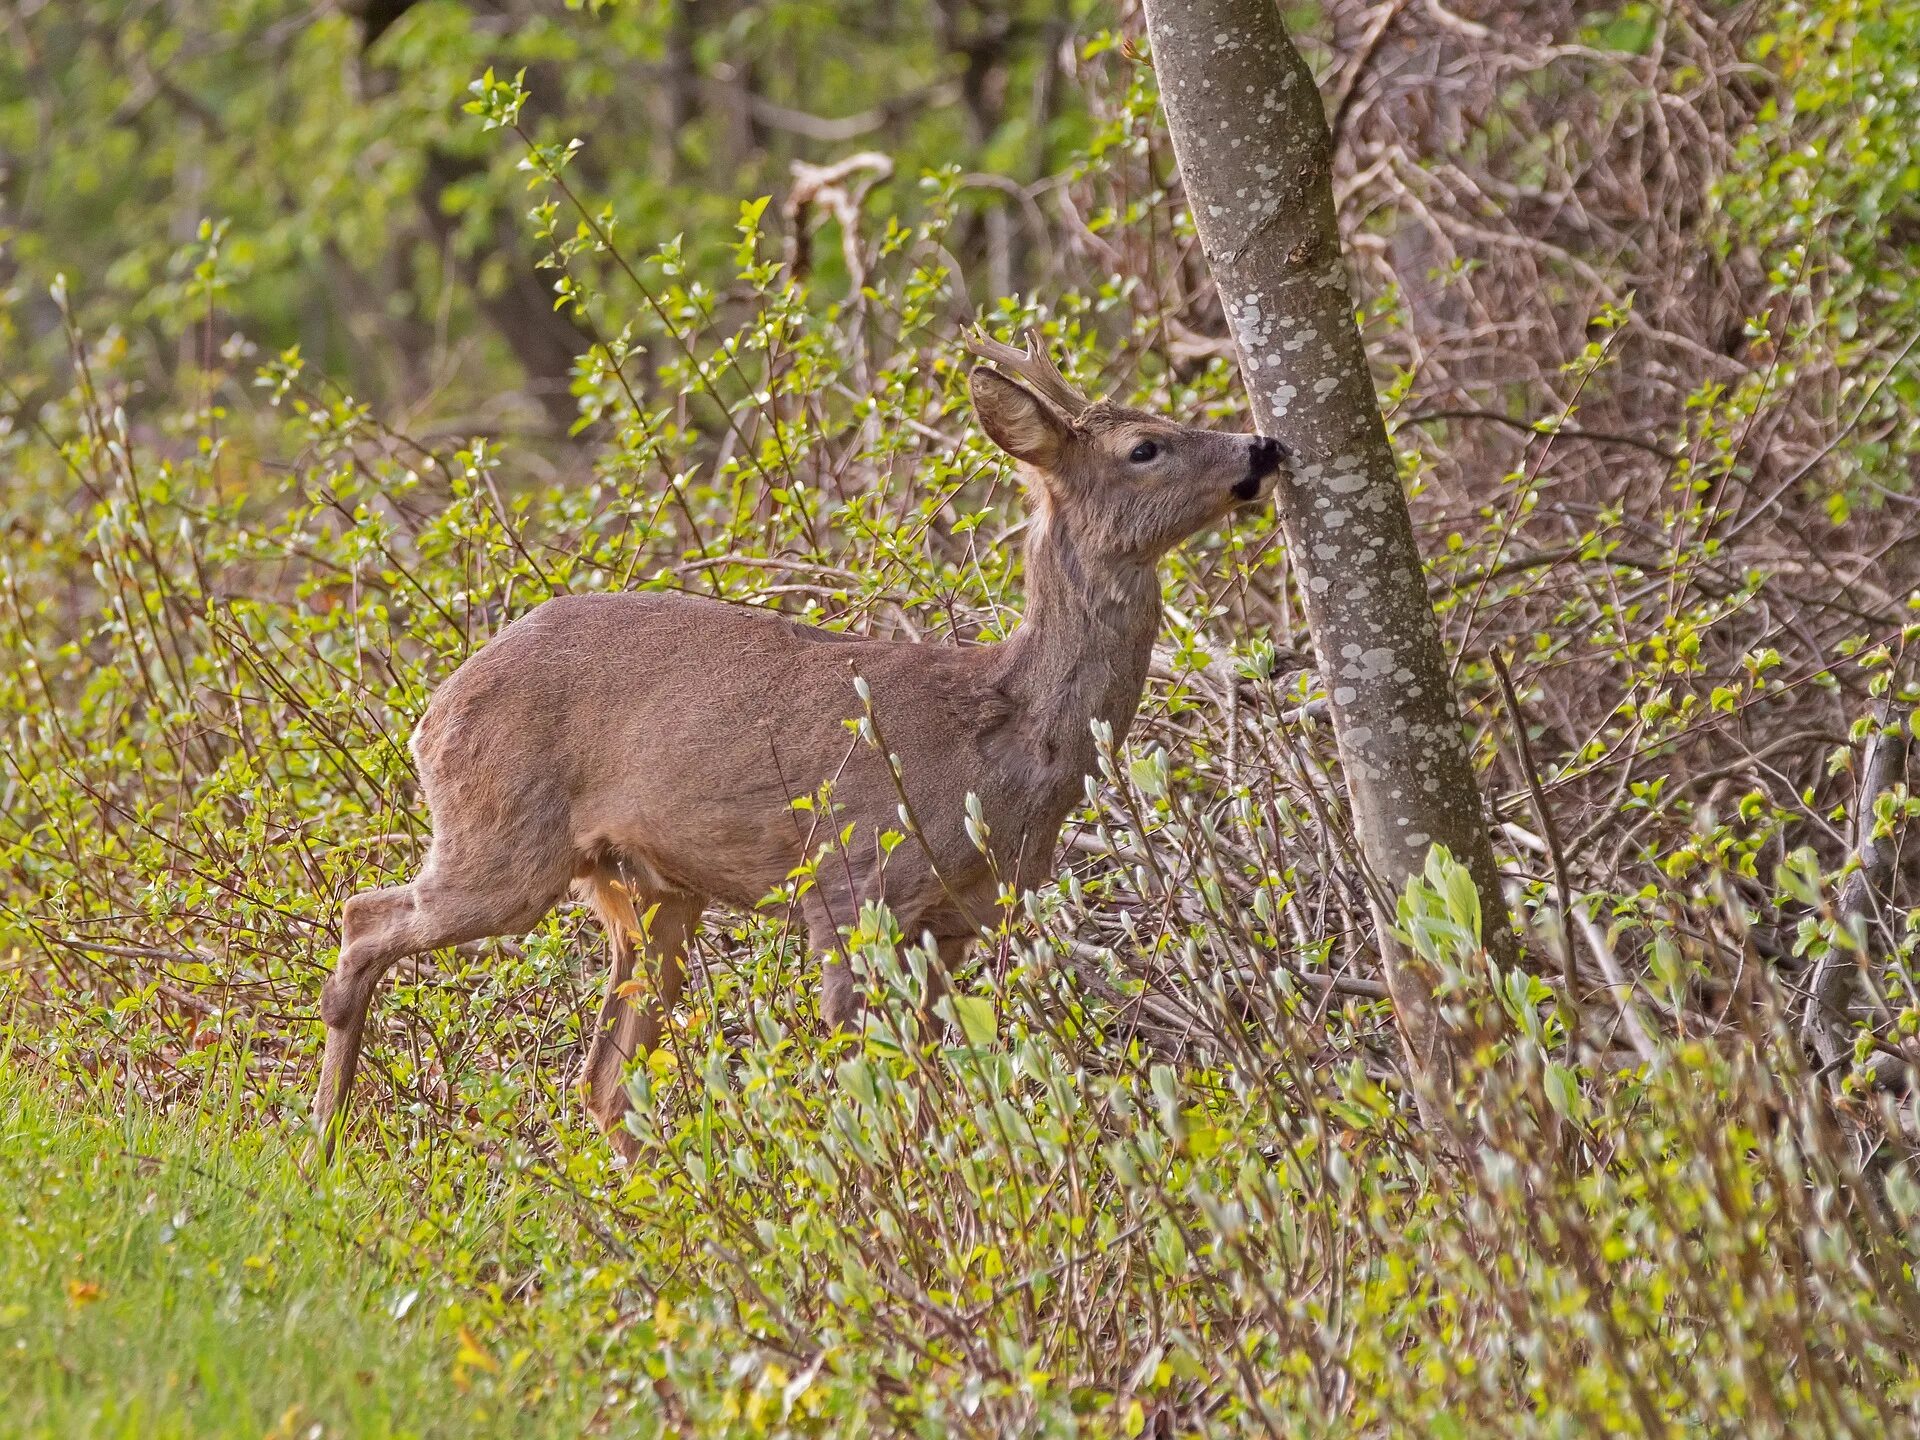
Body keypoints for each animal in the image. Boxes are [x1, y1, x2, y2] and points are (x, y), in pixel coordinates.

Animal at [318, 332, 1290, 1167]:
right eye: (1144, 447)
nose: (1265, 447)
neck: (1000, 737)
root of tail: (430, 711)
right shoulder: (850, 881)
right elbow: (868, 1079)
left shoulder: (956, 922)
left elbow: (920, 1082)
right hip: (503, 839)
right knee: (365, 916)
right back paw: (321, 1147)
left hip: (650, 891)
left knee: (604, 1078)